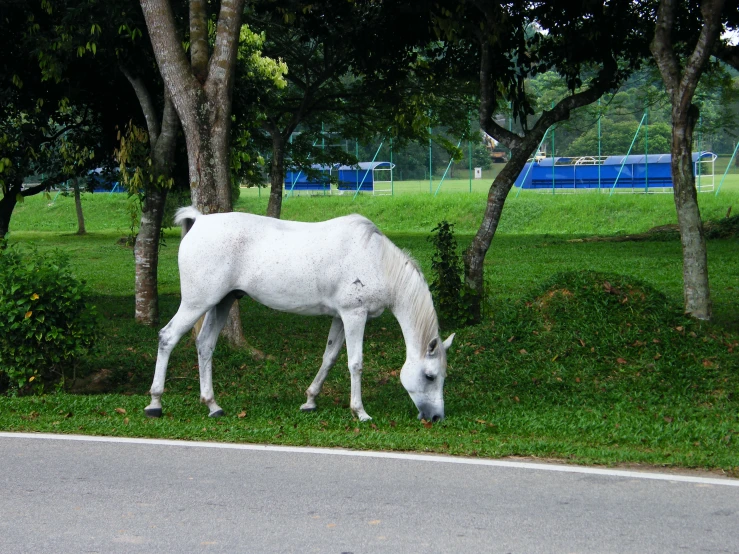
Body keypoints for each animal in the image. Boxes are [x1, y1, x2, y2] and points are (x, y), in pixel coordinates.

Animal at [145, 206, 454, 418]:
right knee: (167, 337)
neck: (376, 260)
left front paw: (310, 400)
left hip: (222, 302)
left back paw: (213, 405)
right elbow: (355, 363)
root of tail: (200, 220)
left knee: (205, 345)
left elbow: (329, 358)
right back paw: (155, 403)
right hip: (196, 303)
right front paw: (360, 412)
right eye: (430, 376)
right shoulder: (355, 315)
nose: (436, 417)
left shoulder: (339, 318)